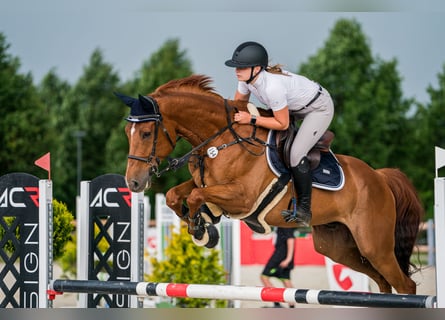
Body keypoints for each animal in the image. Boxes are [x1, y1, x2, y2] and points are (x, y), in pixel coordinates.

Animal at [116, 75, 422, 296]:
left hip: (374, 244)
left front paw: (200, 228)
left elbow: (195, 197)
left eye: (146, 133)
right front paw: (202, 225)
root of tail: (379, 177)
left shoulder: (242, 197)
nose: (133, 182)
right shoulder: (206, 182)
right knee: (382, 282)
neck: (221, 139)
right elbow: (175, 195)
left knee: (405, 285)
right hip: (337, 246)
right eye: (127, 132)